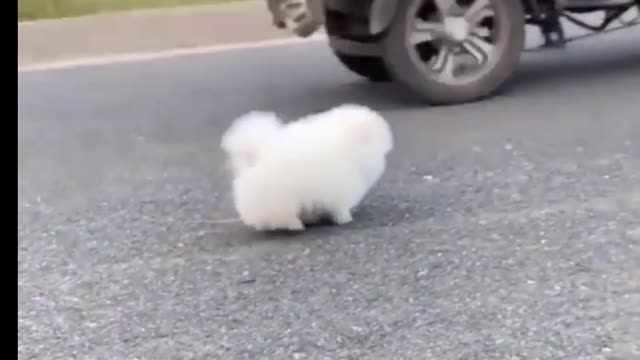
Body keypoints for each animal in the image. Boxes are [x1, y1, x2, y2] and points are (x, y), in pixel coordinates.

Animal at [220, 104, 392, 232]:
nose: (388, 144)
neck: (348, 143)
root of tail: (257, 154)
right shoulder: (341, 185)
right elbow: (340, 206)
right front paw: (345, 219)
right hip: (281, 197)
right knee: (283, 214)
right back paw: (295, 225)